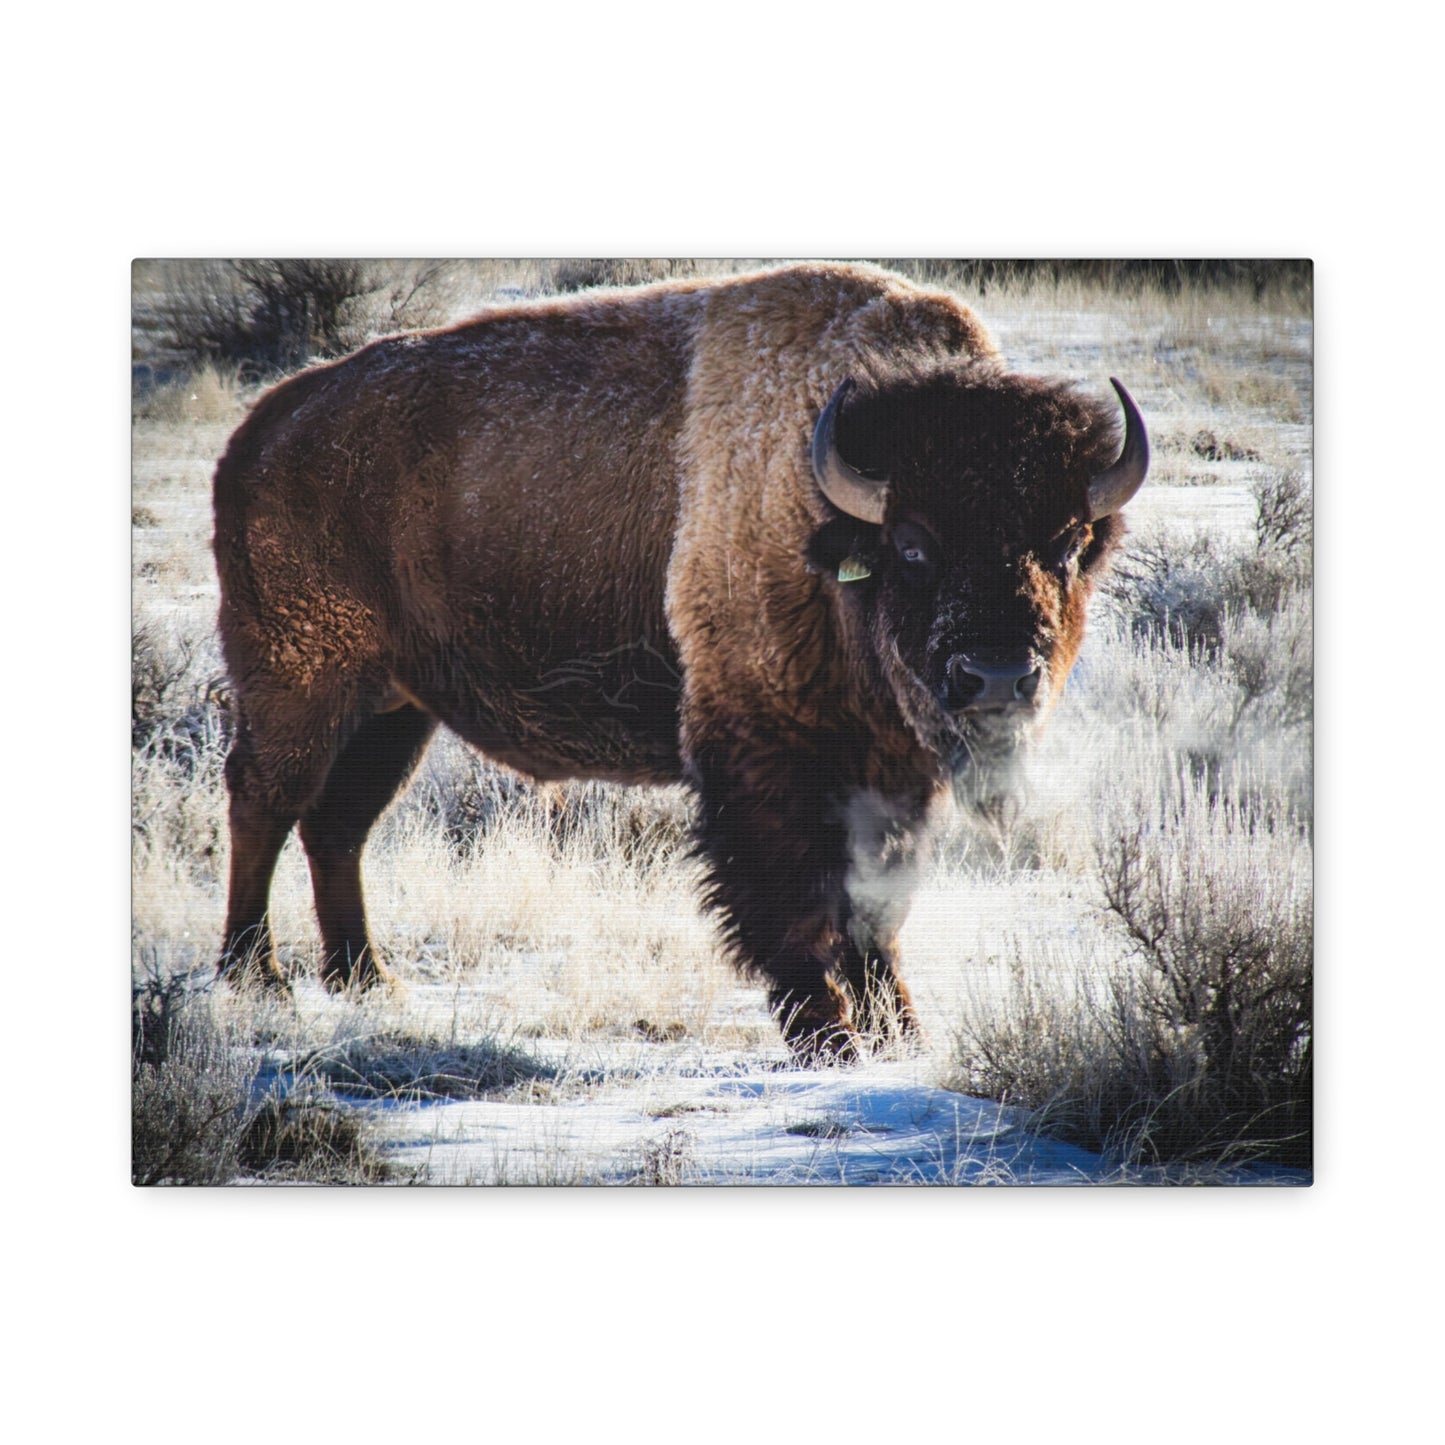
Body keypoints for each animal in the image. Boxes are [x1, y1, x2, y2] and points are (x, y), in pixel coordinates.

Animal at [212, 262, 1147, 1060]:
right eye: (913, 545)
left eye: (1066, 543)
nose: (996, 677)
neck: (824, 510)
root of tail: (262, 429)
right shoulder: (765, 754)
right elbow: (796, 903)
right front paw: (830, 1039)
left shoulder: (892, 771)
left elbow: (876, 909)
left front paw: (900, 1035)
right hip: (300, 680)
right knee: (266, 802)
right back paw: (257, 977)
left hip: (395, 710)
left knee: (338, 825)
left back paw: (367, 980)